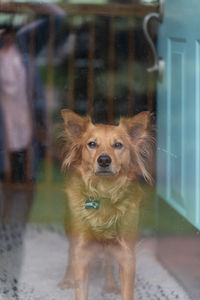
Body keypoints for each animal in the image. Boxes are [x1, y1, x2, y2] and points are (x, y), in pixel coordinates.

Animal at [58, 108, 154, 300]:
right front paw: (71, 281)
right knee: (70, 256)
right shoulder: (81, 250)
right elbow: (80, 285)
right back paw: (67, 279)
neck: (104, 192)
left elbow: (127, 291)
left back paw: (110, 284)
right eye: (92, 144)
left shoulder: (126, 253)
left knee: (109, 262)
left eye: (118, 145)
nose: (104, 160)